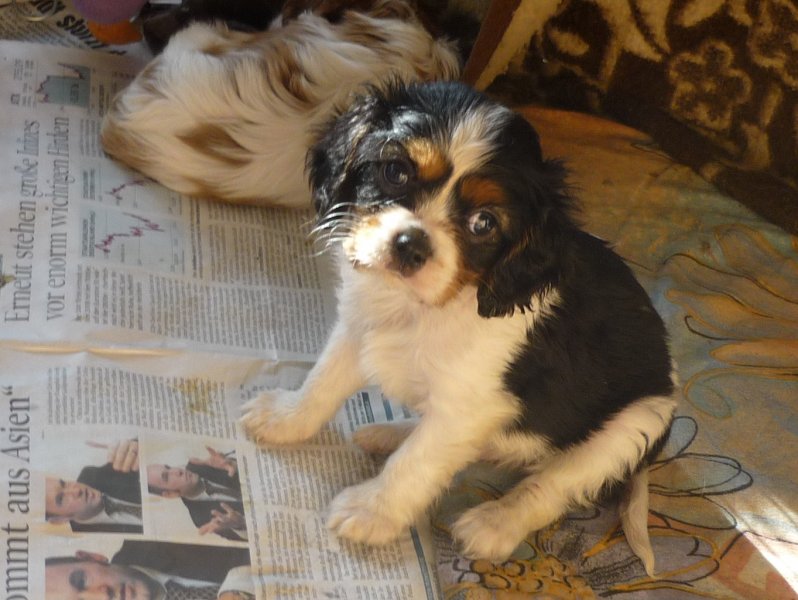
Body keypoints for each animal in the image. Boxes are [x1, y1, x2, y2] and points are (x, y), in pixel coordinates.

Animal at [241, 82, 680, 576]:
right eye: (396, 172)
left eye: (483, 223)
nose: (410, 245)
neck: (422, 307)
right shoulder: (357, 328)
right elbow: (323, 382)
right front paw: (285, 418)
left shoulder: (467, 408)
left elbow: (417, 462)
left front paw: (371, 512)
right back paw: (389, 432)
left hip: (632, 426)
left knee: (550, 486)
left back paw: (494, 523)